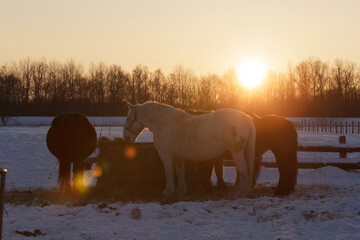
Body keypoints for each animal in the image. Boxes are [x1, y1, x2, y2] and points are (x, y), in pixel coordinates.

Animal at [123, 102, 256, 198]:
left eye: (128, 118)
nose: (126, 137)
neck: (162, 122)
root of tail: (247, 118)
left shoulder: (166, 154)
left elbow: (169, 172)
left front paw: (168, 191)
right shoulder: (178, 155)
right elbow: (180, 171)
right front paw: (181, 191)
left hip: (236, 153)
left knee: (243, 170)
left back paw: (240, 193)